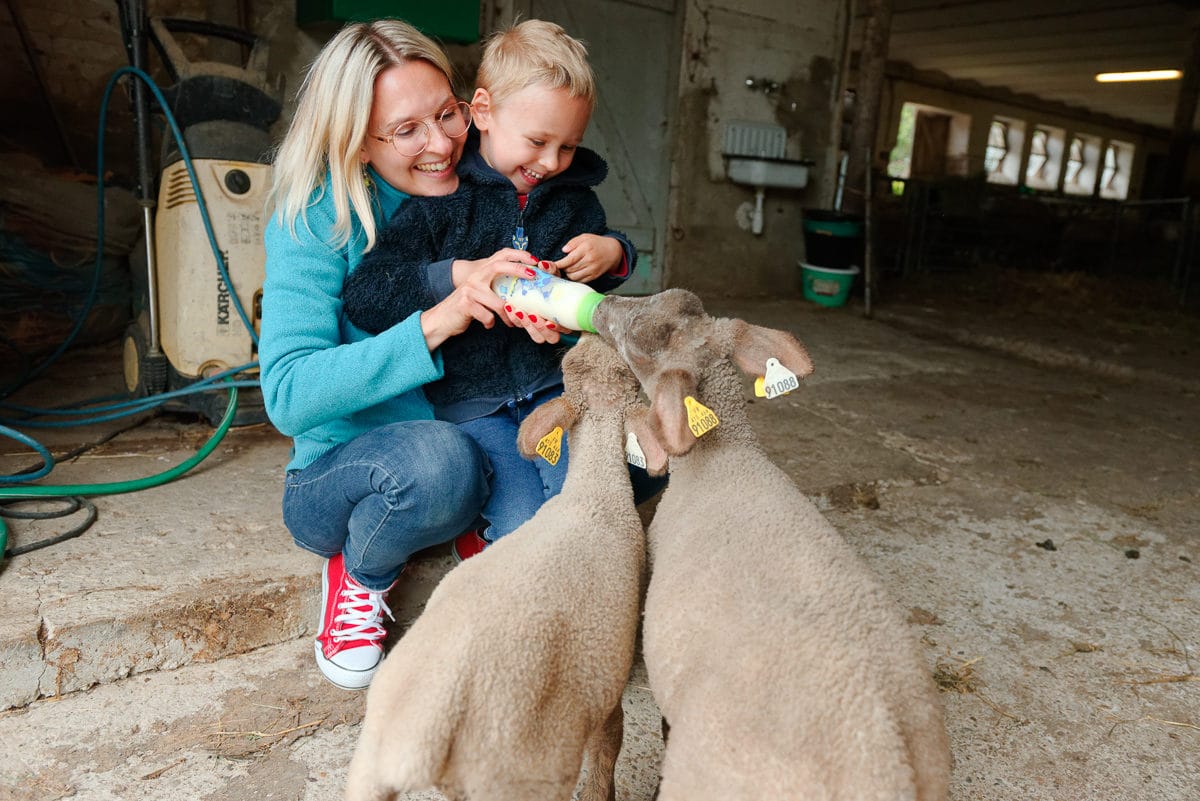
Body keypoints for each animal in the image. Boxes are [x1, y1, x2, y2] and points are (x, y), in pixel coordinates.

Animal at [345, 333, 667, 801]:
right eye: (629, 371)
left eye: (571, 364)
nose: (591, 332)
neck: (593, 492)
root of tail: (422, 732)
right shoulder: (605, 684)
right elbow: (607, 750)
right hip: (523, 767)